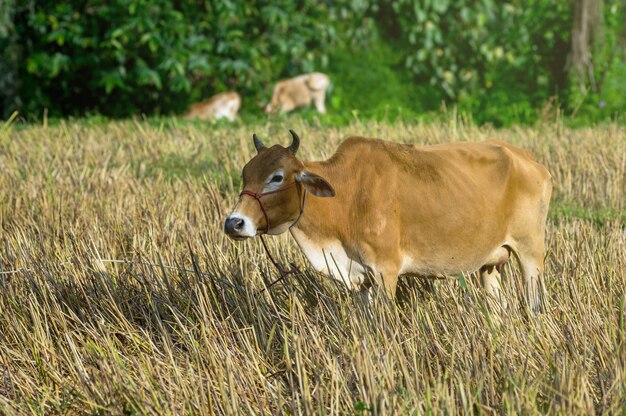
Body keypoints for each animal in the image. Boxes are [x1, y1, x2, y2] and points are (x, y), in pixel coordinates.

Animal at [224, 132, 552, 310]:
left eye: (277, 177)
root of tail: (528, 158)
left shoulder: (385, 271)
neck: (346, 195)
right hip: (490, 264)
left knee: (534, 304)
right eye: (245, 174)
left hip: (530, 254)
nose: (234, 223)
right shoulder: (361, 281)